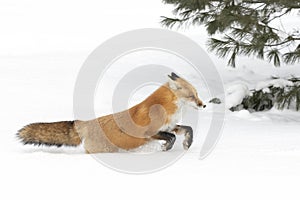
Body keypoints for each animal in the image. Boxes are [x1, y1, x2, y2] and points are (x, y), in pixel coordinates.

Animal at [17, 72, 206, 152]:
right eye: (192, 96)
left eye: (197, 94)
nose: (203, 105)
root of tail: (85, 123)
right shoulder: (149, 132)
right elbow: (171, 137)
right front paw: (167, 148)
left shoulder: (170, 126)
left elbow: (188, 129)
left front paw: (187, 144)